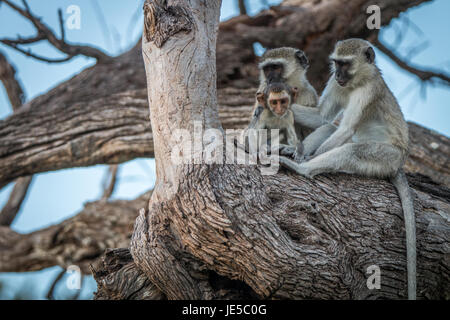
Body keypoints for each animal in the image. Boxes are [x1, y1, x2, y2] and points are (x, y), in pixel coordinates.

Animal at [280, 38, 416, 300]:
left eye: (346, 64)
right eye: (336, 63)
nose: (338, 73)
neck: (357, 81)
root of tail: (400, 162)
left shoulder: (368, 91)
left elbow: (345, 128)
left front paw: (306, 159)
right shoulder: (335, 83)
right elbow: (322, 117)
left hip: (386, 157)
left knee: (350, 150)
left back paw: (303, 168)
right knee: (328, 129)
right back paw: (295, 153)